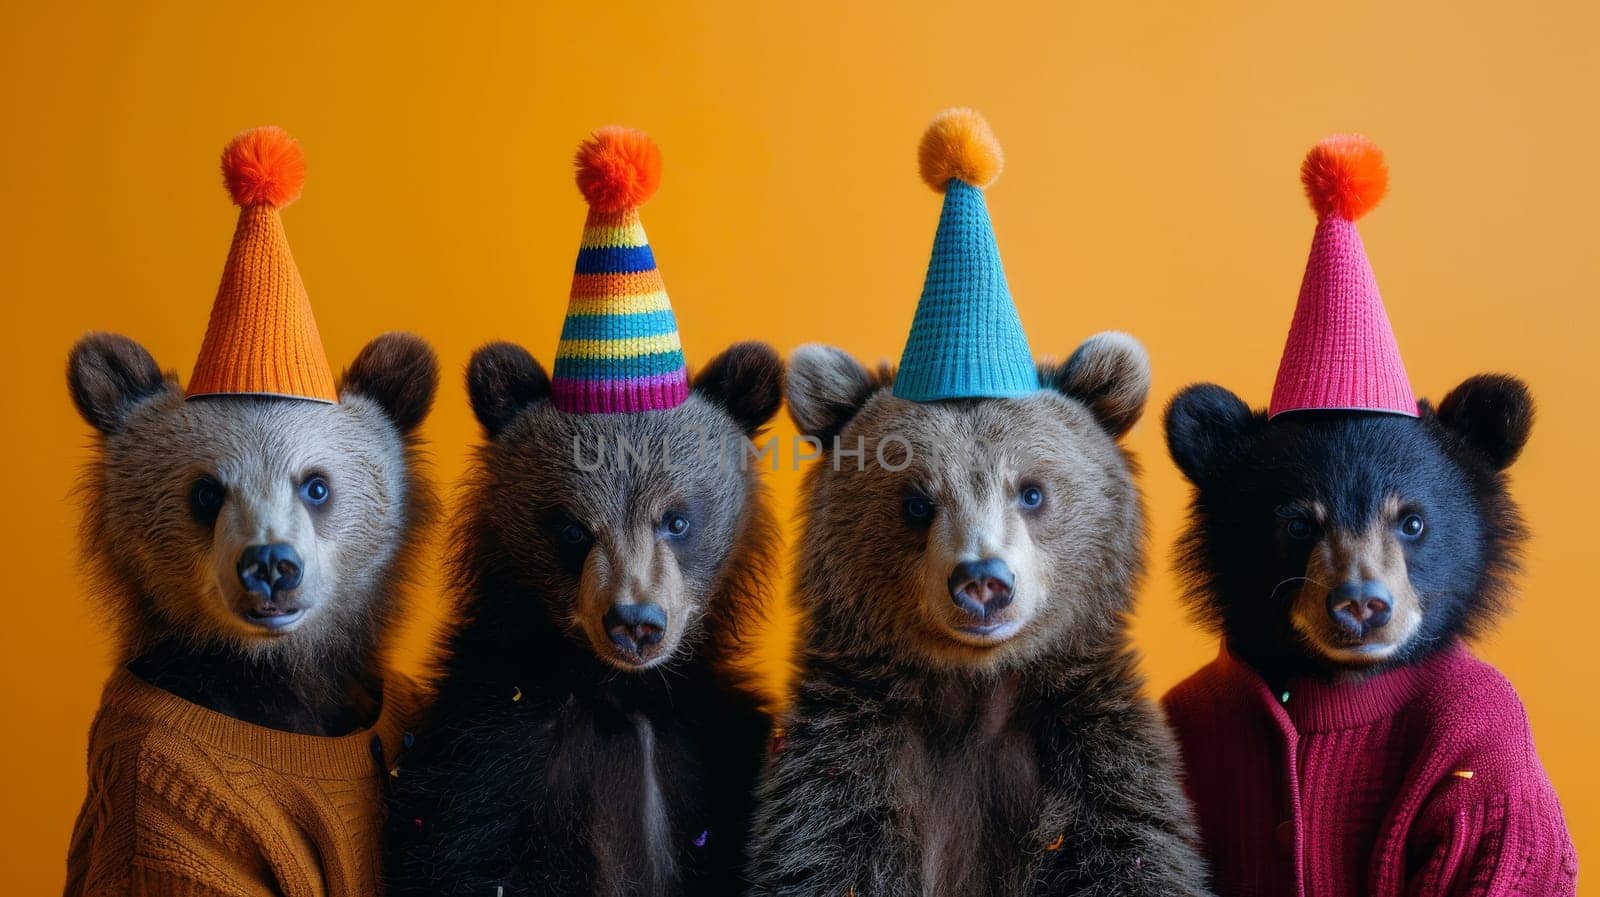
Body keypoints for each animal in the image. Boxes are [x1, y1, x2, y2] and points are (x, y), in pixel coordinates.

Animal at [387, 337, 787, 895]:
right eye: (573, 529)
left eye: (677, 520)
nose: (636, 624)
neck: (620, 690)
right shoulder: (488, 744)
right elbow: (464, 854)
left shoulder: (710, 744)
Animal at [748, 334, 1209, 895]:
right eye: (918, 503)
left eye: (1031, 491)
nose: (983, 581)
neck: (977, 686)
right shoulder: (841, 764)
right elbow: (828, 851)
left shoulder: (1098, 760)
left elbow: (1132, 851)